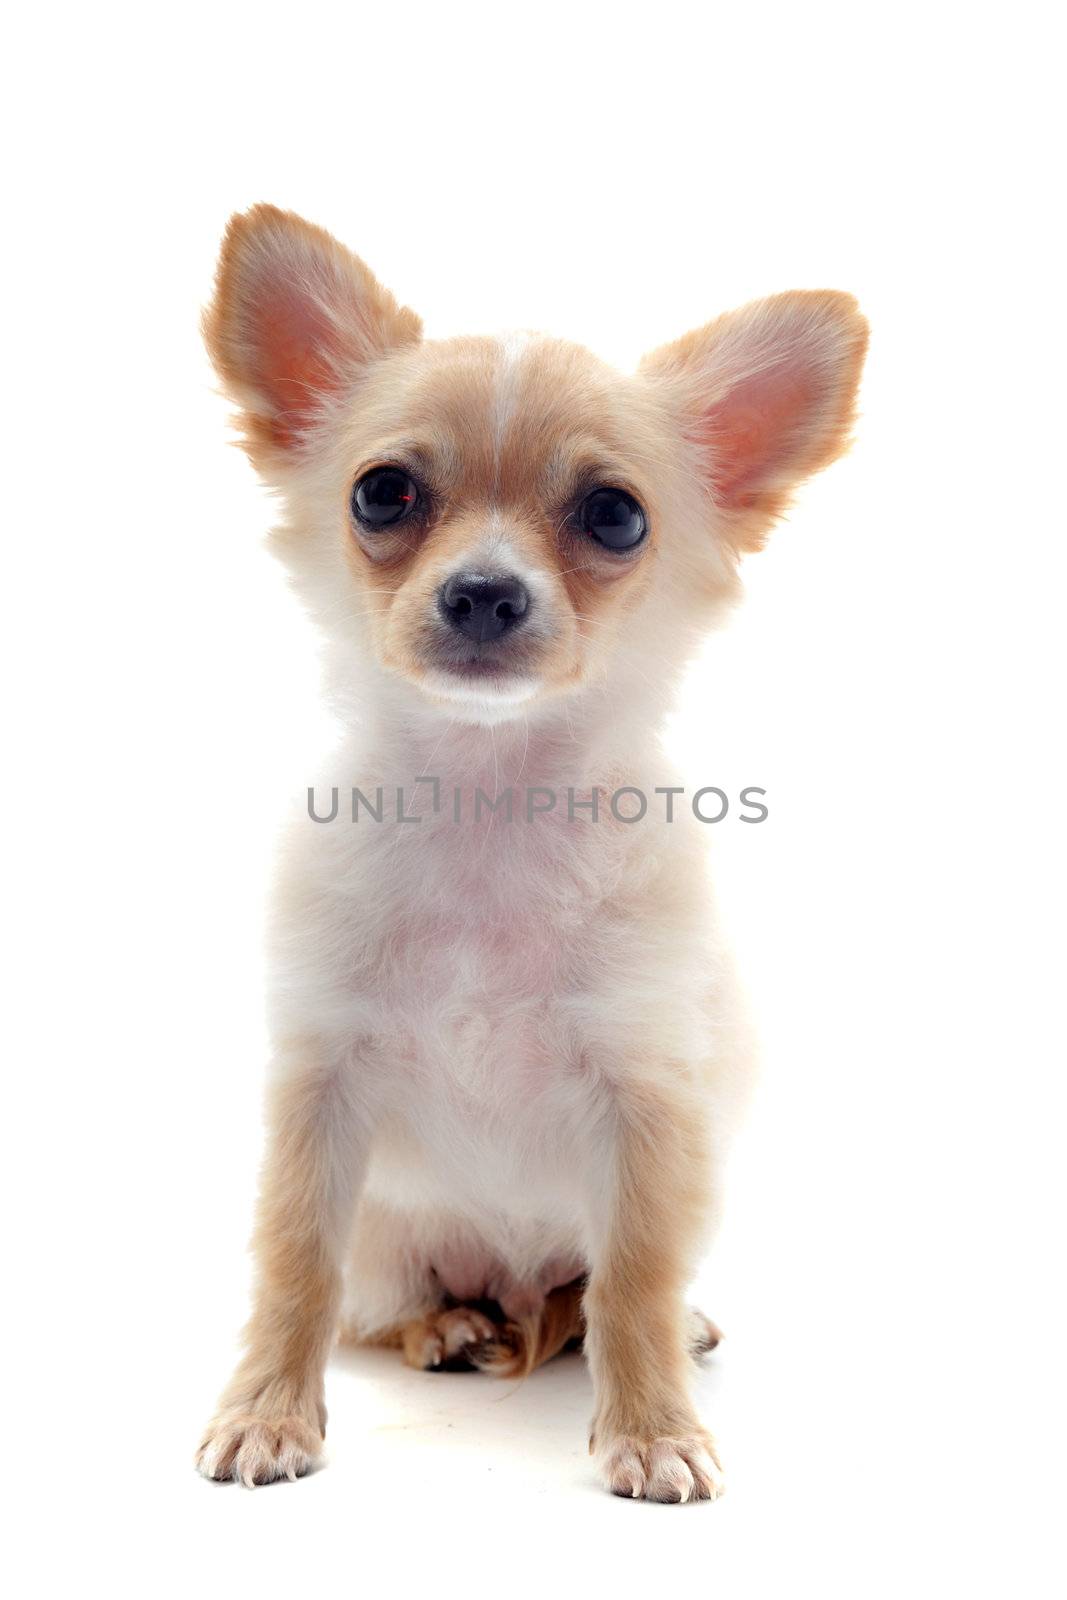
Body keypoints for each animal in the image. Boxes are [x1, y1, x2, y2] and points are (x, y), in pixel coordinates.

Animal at [195, 203, 870, 1497]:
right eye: (382, 494)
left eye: (614, 515)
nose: (482, 593)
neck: (485, 807)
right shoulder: (319, 1088)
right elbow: (291, 1262)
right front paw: (264, 1410)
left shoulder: (650, 1104)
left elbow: (635, 1282)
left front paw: (651, 1427)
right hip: (395, 1246)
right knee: (375, 1306)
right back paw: (447, 1326)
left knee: (594, 1288)